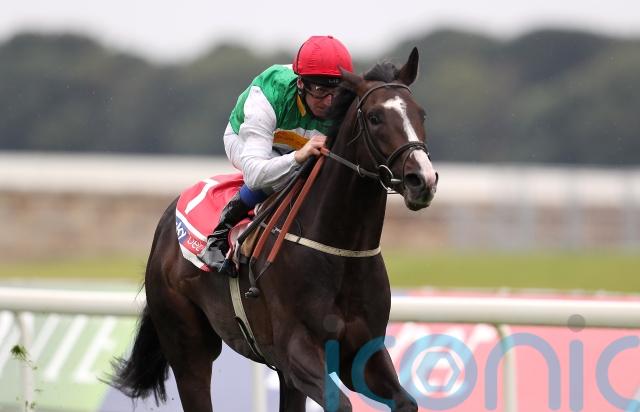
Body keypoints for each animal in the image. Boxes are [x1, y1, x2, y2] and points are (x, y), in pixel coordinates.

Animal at [110, 47, 438, 411]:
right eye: (375, 117)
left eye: (421, 114)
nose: (421, 179)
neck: (340, 249)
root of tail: (167, 222)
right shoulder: (296, 350)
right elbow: (341, 403)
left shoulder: (361, 353)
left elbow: (405, 401)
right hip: (188, 346)